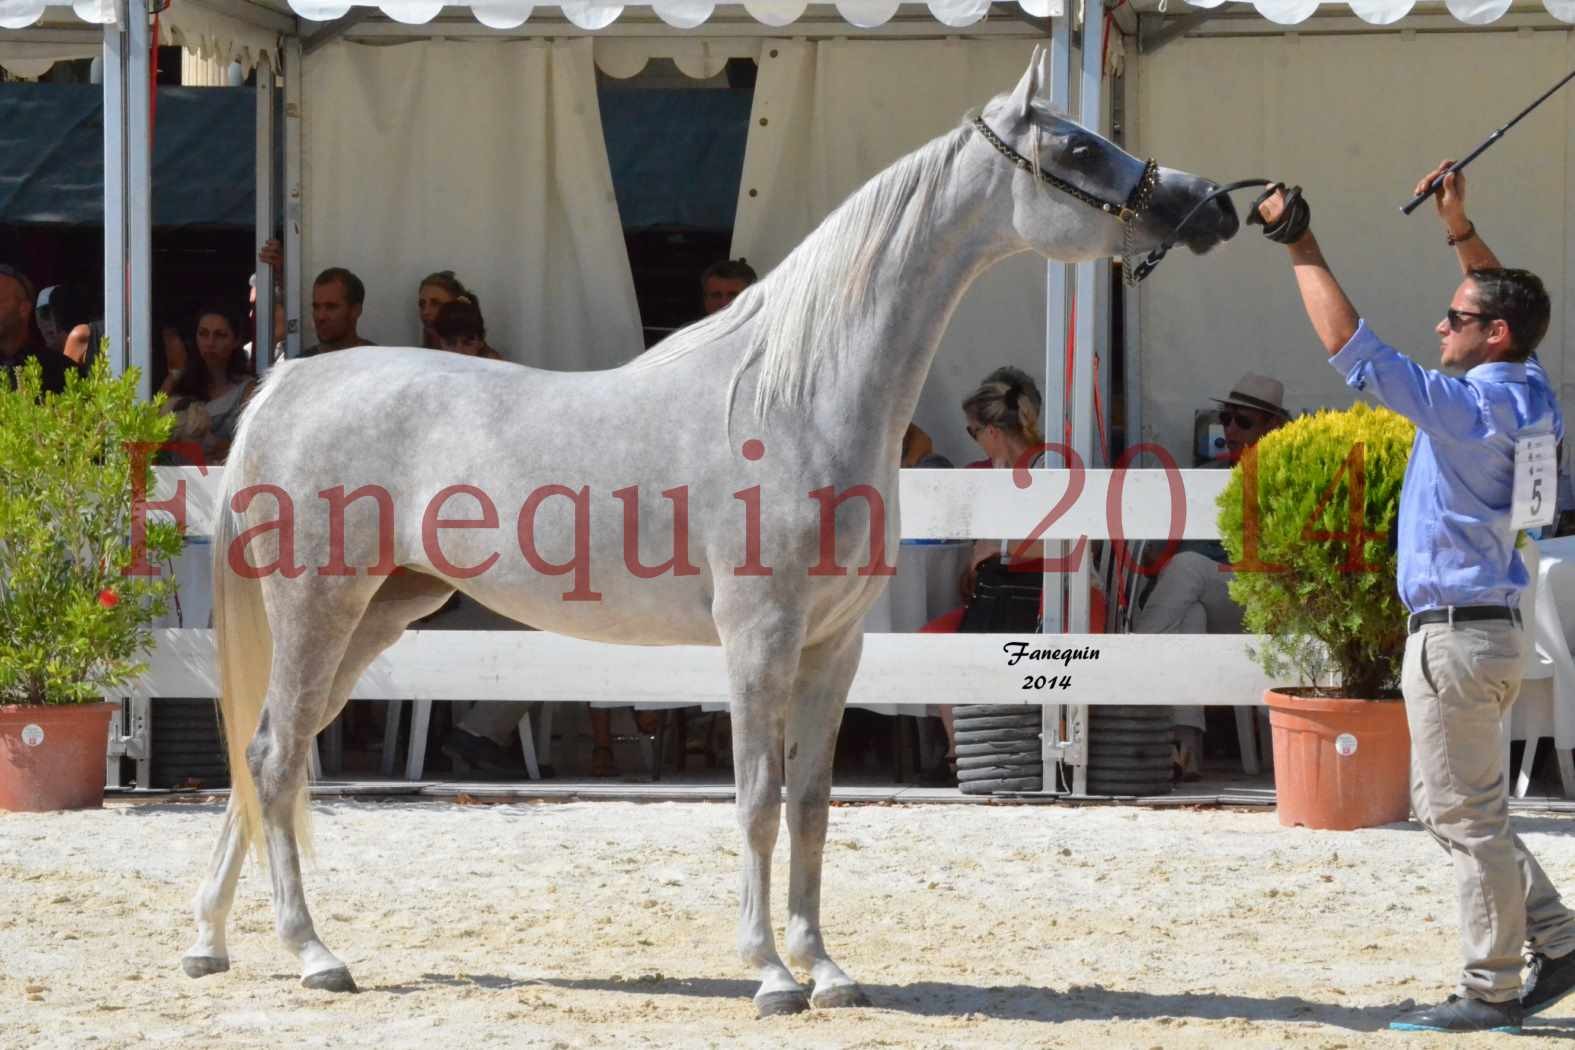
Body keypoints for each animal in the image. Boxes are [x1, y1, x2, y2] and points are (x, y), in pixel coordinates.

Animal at [184, 51, 1234, 1020]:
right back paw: (312, 954)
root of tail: (287, 380)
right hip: (319, 607)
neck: (794, 396)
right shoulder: (757, 638)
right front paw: (769, 974)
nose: (1206, 205)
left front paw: (826, 971)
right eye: (1076, 148)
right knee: (274, 757)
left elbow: (811, 802)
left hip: (381, 613)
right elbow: (758, 798)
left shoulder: (833, 646)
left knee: (266, 749)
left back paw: (209, 942)